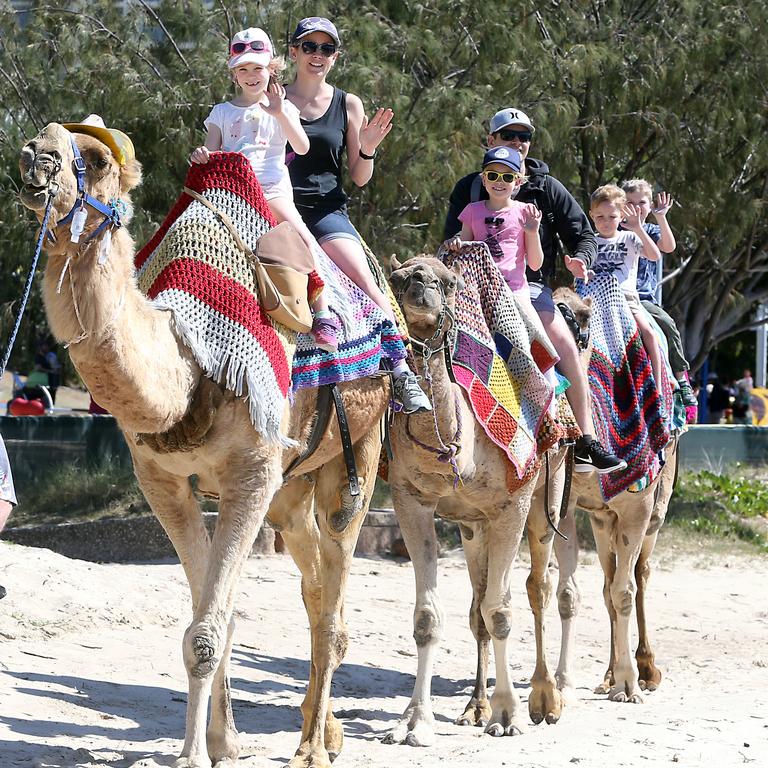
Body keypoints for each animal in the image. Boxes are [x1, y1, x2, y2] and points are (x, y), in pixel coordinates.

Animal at [16, 123, 390, 764]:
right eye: (44, 138)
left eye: (93, 158)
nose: (33, 158)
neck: (191, 362)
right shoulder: (162, 480)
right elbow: (213, 618)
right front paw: (223, 742)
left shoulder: (252, 473)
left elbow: (208, 632)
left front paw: (192, 753)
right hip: (292, 490)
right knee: (316, 587)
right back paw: (324, 731)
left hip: (358, 449)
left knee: (335, 594)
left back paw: (313, 748)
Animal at [380, 256, 568, 744]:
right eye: (398, 279)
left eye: (449, 282)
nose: (420, 286)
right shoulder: (412, 501)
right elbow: (429, 618)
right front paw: (413, 720)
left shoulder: (512, 505)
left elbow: (501, 611)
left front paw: (508, 715)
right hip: (471, 525)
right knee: (478, 603)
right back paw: (473, 707)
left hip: (547, 496)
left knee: (537, 588)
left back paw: (546, 698)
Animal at [548, 286, 680, 704]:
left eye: (583, 317)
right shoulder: (570, 505)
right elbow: (572, 592)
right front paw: (563, 680)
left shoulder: (638, 506)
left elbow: (626, 590)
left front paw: (630, 683)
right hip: (603, 518)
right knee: (608, 582)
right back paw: (607, 676)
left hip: (657, 508)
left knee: (640, 574)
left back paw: (647, 670)